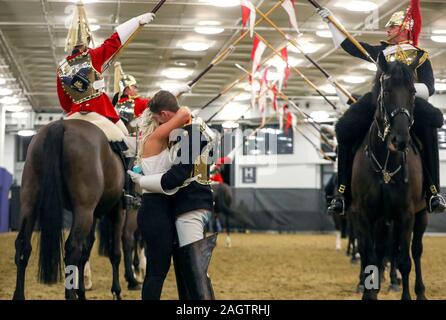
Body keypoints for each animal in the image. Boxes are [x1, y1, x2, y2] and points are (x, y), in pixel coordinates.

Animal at [13, 118, 124, 300]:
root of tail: (60, 125)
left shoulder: (94, 215)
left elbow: (87, 250)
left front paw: (82, 291)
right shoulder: (118, 210)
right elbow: (114, 253)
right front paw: (116, 292)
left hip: (30, 203)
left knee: (23, 245)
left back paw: (19, 295)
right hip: (84, 210)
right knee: (72, 249)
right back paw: (71, 295)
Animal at [352, 53, 428, 302]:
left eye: (413, 91)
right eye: (386, 91)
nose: (400, 140)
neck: (386, 165)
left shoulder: (405, 216)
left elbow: (404, 260)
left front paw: (405, 294)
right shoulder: (364, 216)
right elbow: (370, 256)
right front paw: (368, 293)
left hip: (421, 215)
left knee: (415, 251)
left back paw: (419, 292)